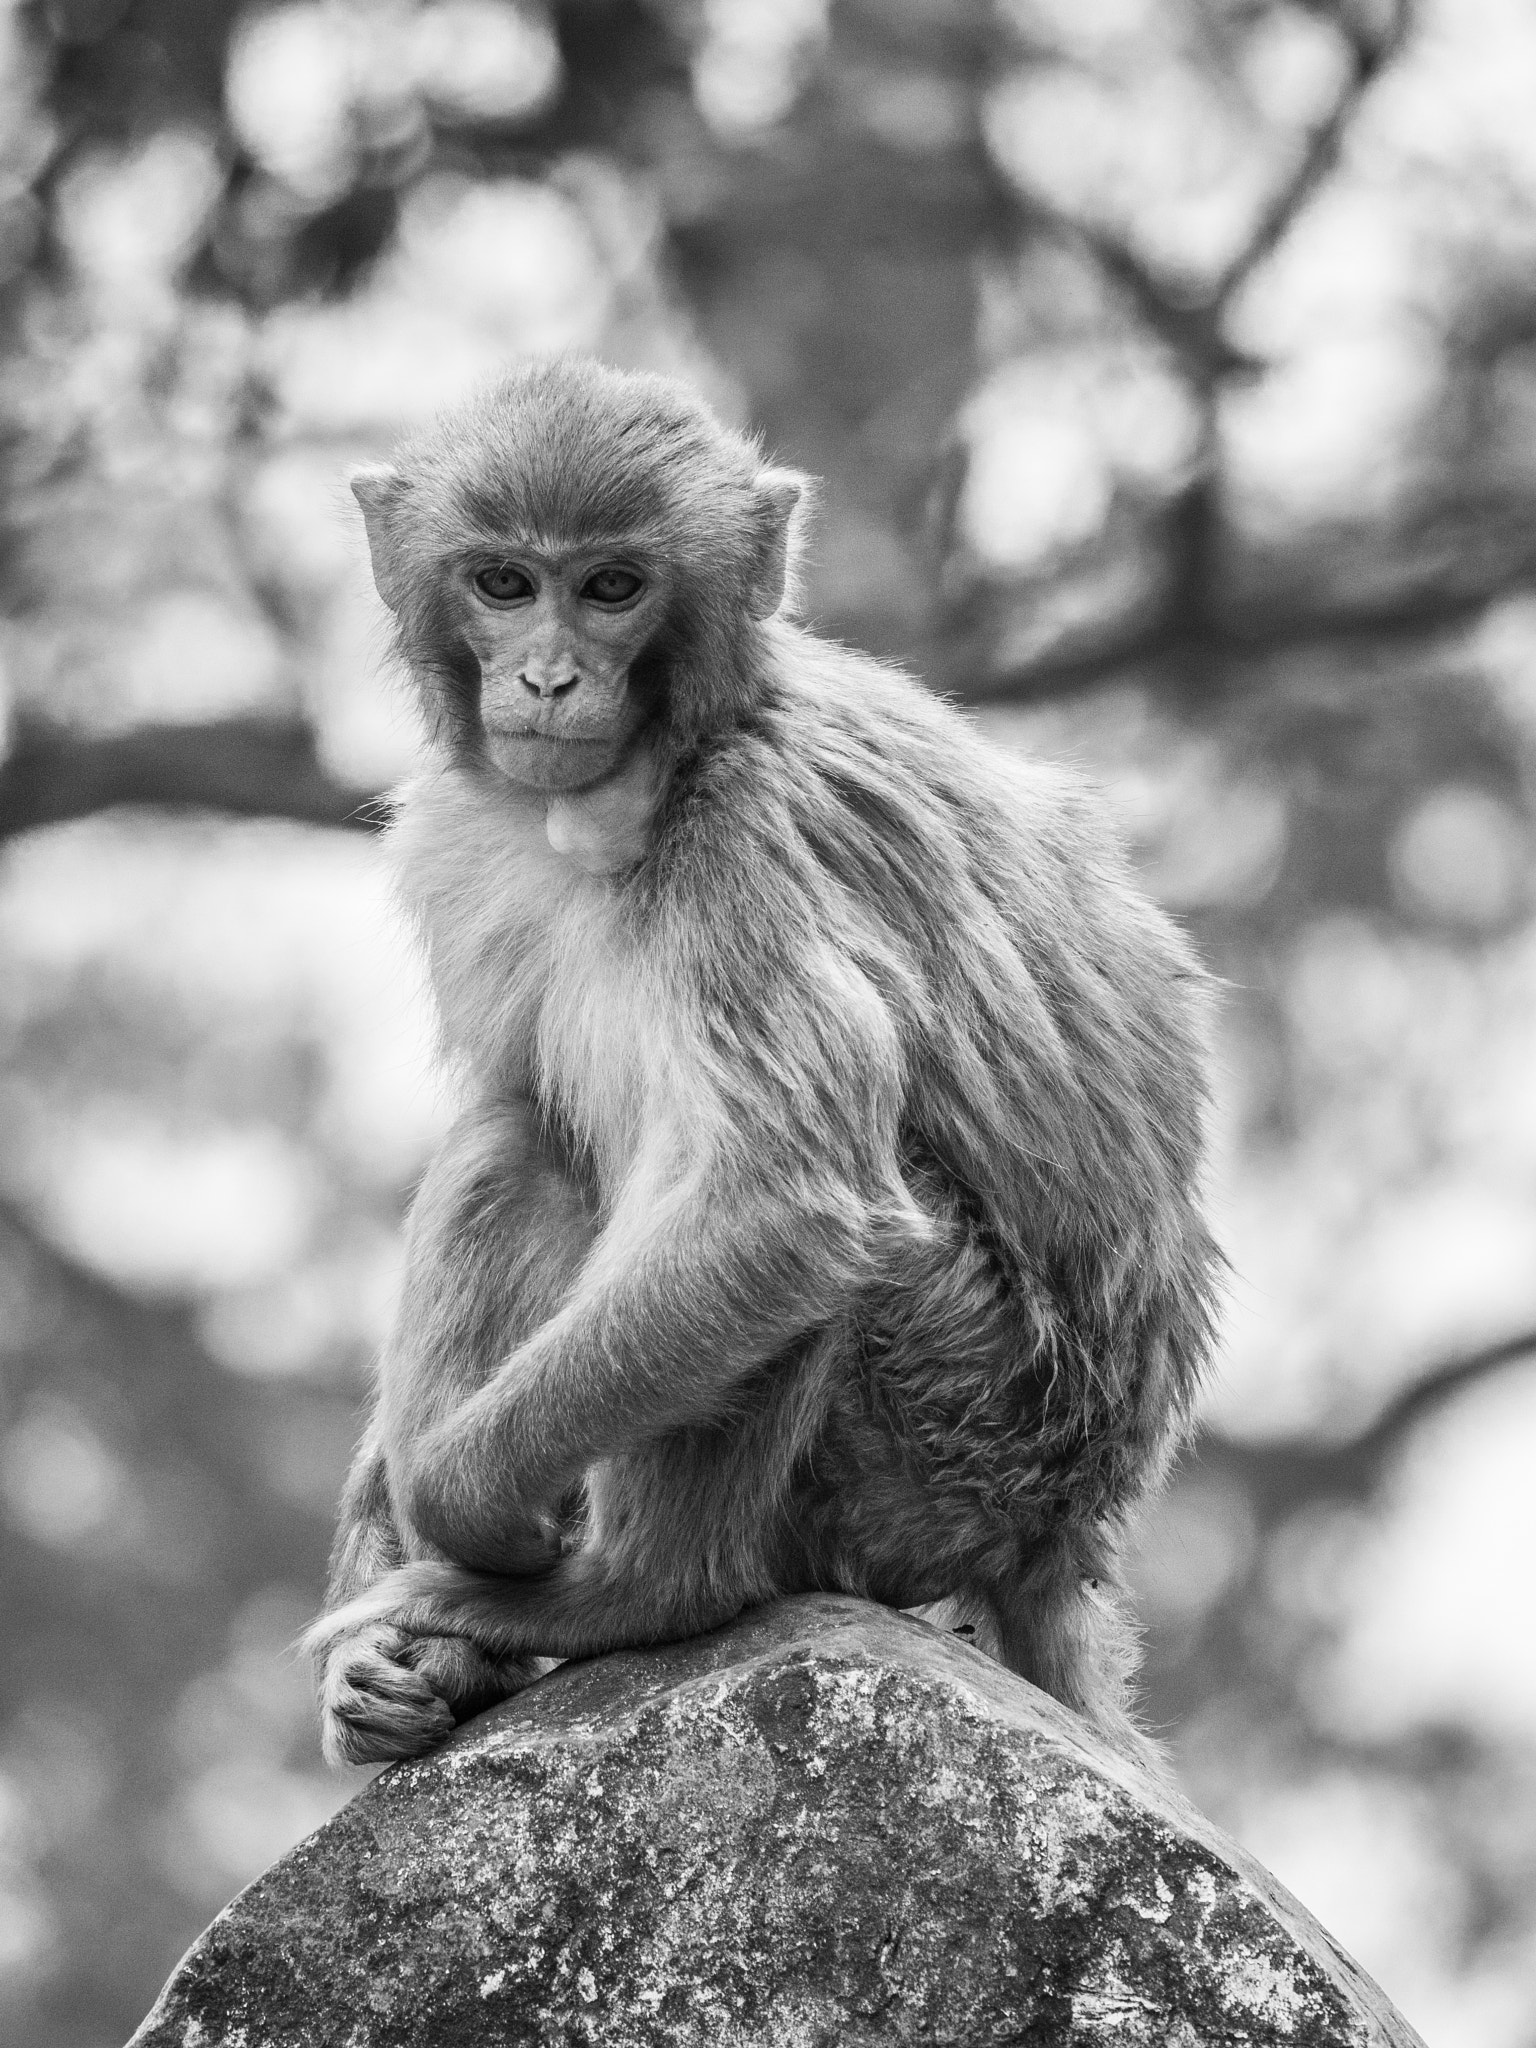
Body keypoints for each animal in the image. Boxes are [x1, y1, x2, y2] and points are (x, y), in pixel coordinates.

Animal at [306, 356, 1222, 1773]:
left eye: (612, 587)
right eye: (504, 582)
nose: (550, 679)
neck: (639, 779)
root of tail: (1061, 1538)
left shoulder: (745, 835)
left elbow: (782, 1198)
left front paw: (460, 1506)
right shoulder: (458, 844)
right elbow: (526, 1100)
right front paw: (375, 1608)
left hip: (939, 1434)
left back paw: (628, 1592)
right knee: (523, 1136)